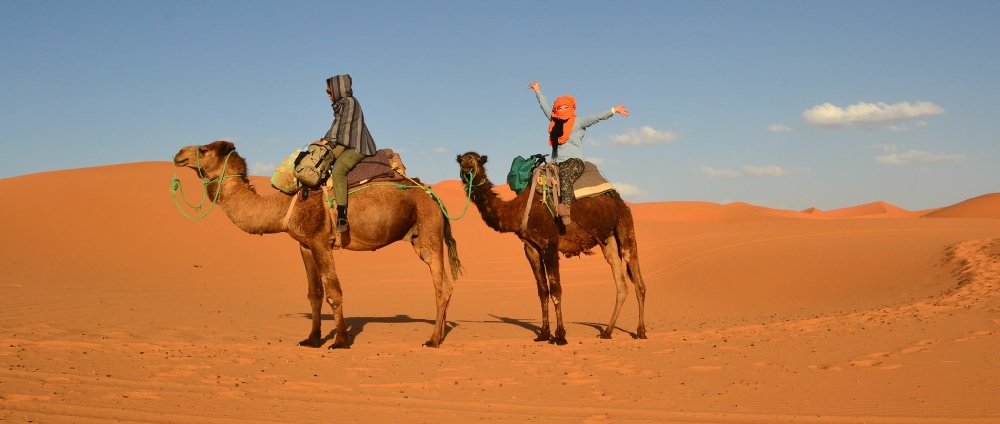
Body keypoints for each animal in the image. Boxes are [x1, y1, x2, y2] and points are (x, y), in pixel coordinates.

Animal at [174, 142, 462, 348]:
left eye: (204, 149)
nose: (178, 154)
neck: (284, 206)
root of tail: (434, 196)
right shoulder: (305, 244)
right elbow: (314, 294)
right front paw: (311, 339)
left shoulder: (321, 241)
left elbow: (334, 292)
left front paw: (340, 341)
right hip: (418, 236)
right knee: (445, 285)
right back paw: (440, 335)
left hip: (429, 230)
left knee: (441, 287)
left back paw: (432, 340)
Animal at [456, 152, 644, 344]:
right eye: (461, 160)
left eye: (476, 160)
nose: (466, 166)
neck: (519, 209)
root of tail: (621, 201)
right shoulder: (531, 248)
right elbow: (542, 291)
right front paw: (544, 334)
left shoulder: (549, 244)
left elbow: (555, 290)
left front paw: (560, 335)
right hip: (608, 239)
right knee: (621, 284)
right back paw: (607, 332)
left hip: (625, 227)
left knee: (638, 281)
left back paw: (641, 331)